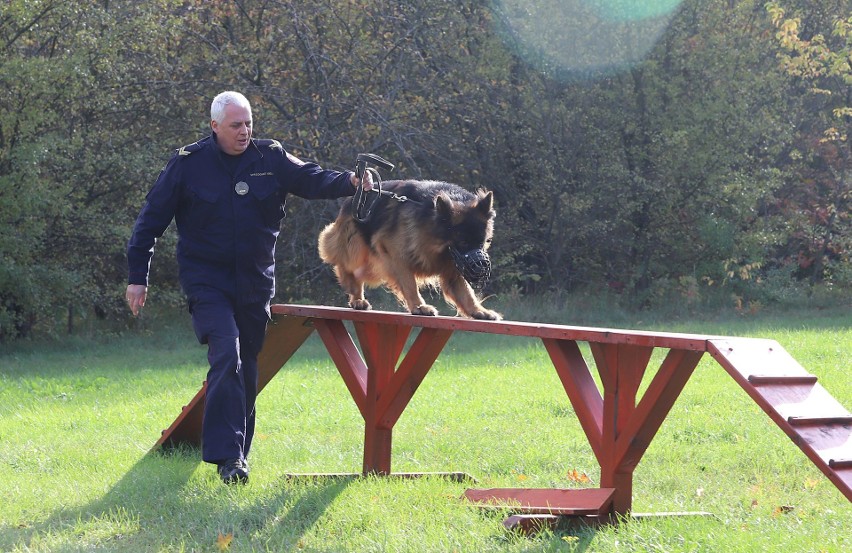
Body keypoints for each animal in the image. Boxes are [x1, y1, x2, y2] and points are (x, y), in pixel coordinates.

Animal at [322, 179, 506, 322]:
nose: (481, 266)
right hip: (359, 251)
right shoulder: (394, 255)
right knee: (347, 267)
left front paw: (478, 311)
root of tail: (354, 195)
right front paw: (419, 306)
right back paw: (356, 297)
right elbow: (409, 283)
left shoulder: (454, 265)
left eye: (483, 242)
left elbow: (466, 292)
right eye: (463, 242)